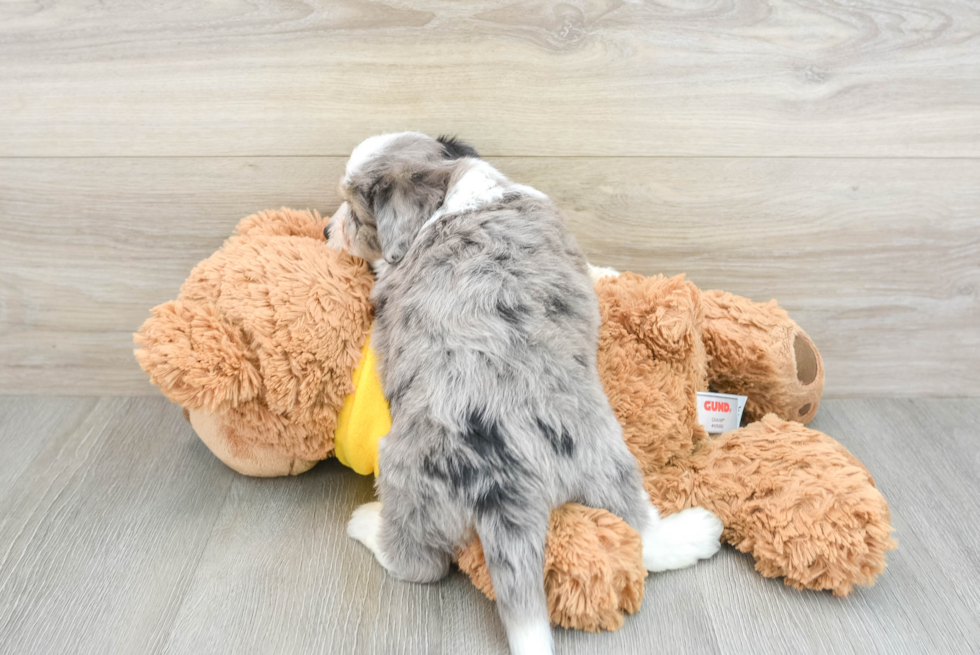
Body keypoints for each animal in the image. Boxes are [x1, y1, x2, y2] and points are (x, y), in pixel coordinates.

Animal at [334, 133, 724, 655]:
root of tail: (503, 484)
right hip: (607, 457)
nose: (324, 228)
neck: (452, 190)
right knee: (642, 535)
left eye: (356, 217)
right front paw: (607, 273)